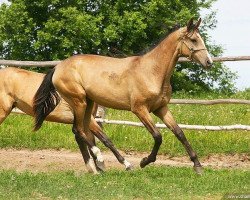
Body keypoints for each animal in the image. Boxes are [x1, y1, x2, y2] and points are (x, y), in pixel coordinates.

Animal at [0, 67, 132, 173]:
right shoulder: (90, 121)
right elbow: (105, 140)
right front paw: (126, 165)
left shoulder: (84, 121)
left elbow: (87, 141)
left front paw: (97, 169)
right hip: (3, 111)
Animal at [33, 19, 213, 175]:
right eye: (194, 39)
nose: (209, 62)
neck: (152, 71)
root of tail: (58, 67)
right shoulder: (140, 109)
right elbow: (158, 136)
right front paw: (145, 161)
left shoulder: (161, 108)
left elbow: (180, 133)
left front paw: (198, 166)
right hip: (78, 102)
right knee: (78, 131)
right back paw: (104, 160)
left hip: (88, 104)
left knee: (85, 132)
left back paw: (105, 166)